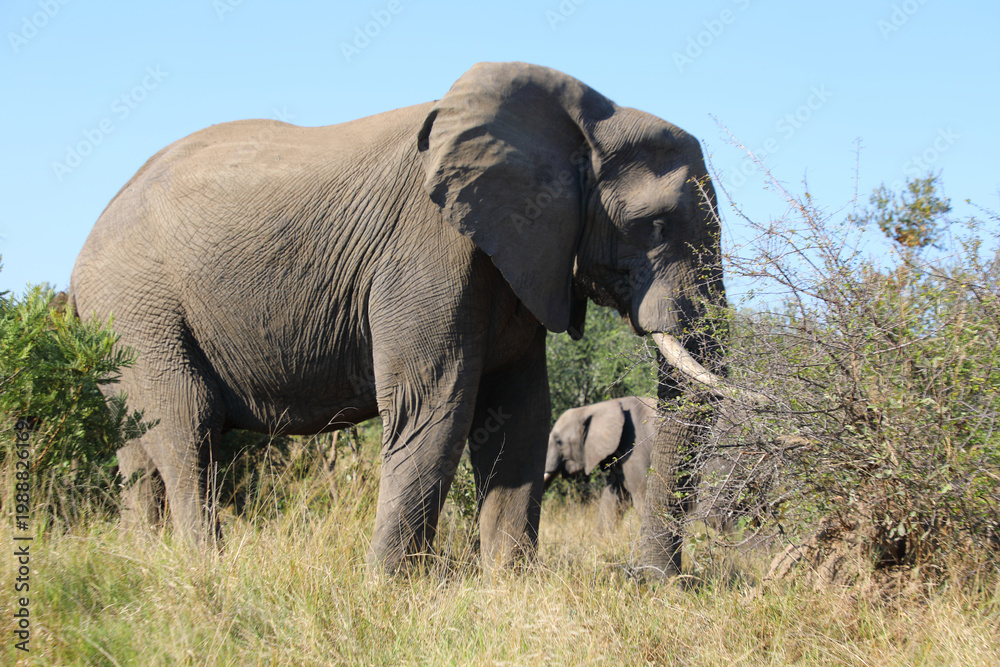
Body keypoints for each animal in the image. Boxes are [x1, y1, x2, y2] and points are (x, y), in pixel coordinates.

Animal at [69, 61, 726, 573]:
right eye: (656, 225)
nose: (649, 580)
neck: (581, 120)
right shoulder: (428, 248)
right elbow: (435, 403)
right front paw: (390, 588)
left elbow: (518, 411)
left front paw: (509, 586)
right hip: (138, 306)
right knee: (187, 425)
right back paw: (207, 570)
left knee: (137, 451)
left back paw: (138, 562)